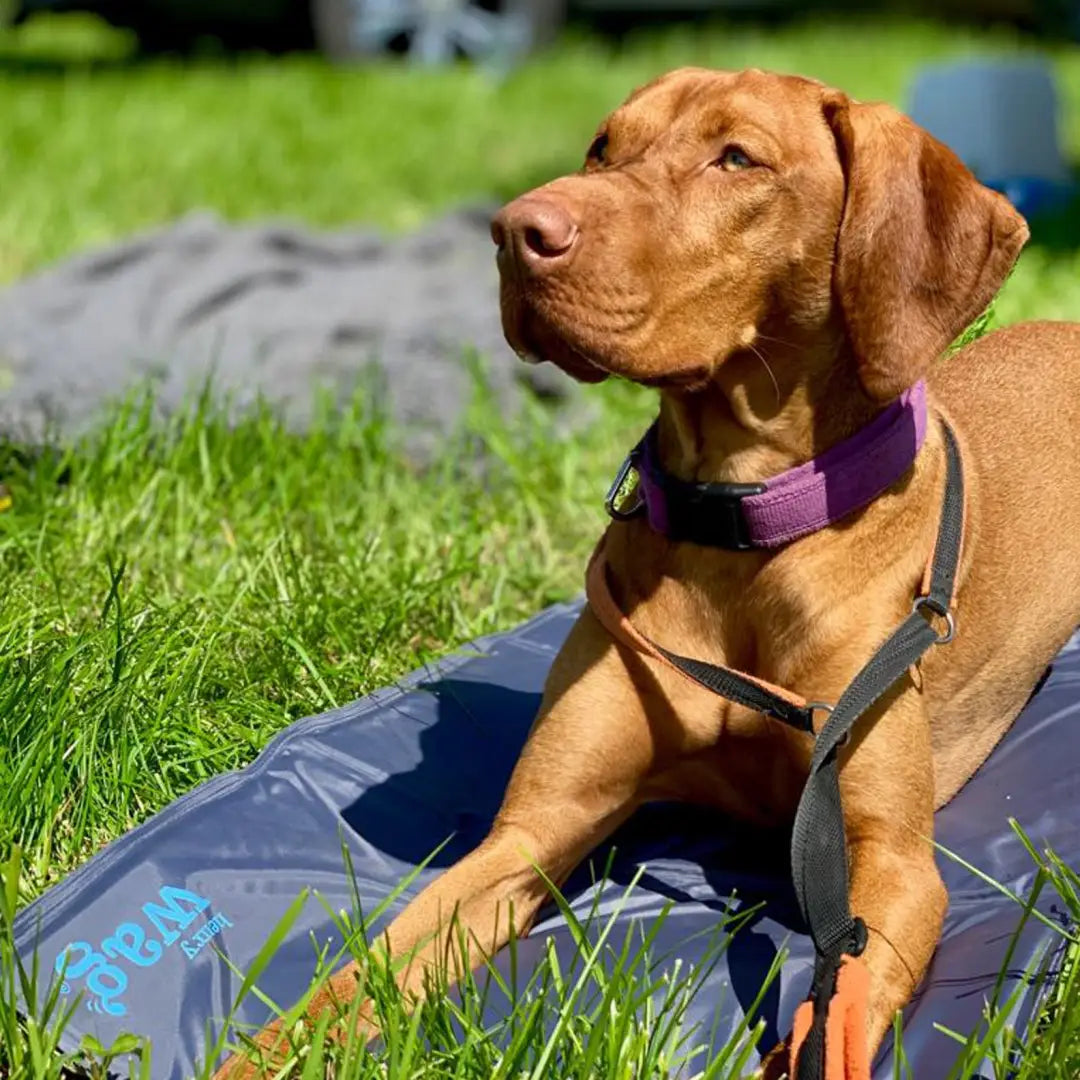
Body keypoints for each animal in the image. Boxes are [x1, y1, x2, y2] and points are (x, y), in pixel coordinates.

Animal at [217, 69, 1080, 1080]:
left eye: (736, 158)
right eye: (603, 146)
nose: (513, 229)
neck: (739, 535)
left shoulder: (892, 863)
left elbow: (834, 1011)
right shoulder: (530, 833)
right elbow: (362, 977)